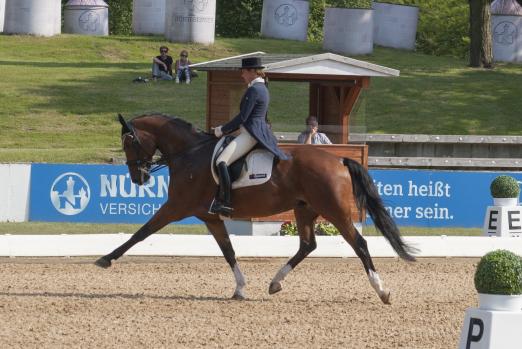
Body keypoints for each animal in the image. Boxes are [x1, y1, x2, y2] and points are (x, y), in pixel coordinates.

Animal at [94, 113, 414, 302]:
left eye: (129, 142)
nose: (139, 178)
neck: (188, 153)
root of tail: (339, 160)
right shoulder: (209, 216)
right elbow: (228, 251)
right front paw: (239, 288)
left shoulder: (175, 207)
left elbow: (141, 233)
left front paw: (105, 259)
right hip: (305, 209)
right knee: (307, 245)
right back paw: (275, 283)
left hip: (335, 211)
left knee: (358, 243)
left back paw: (382, 290)